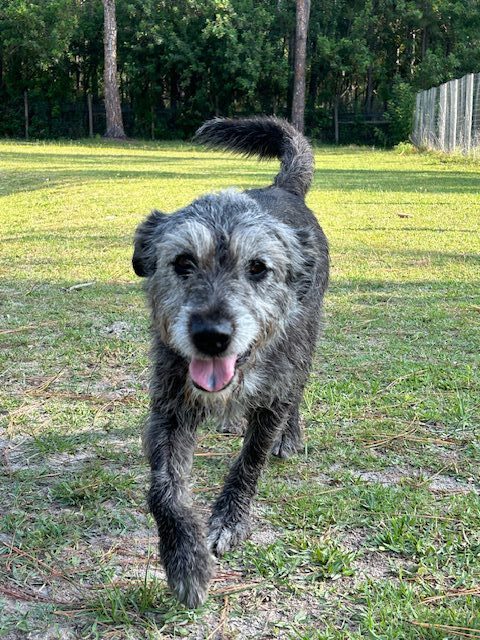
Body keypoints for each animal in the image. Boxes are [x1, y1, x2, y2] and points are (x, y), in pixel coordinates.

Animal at [132, 117, 330, 608]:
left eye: (258, 267)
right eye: (183, 262)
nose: (212, 336)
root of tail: (282, 188)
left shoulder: (274, 396)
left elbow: (250, 461)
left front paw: (229, 521)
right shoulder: (169, 407)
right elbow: (164, 489)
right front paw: (185, 560)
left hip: (304, 352)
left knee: (297, 394)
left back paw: (290, 436)